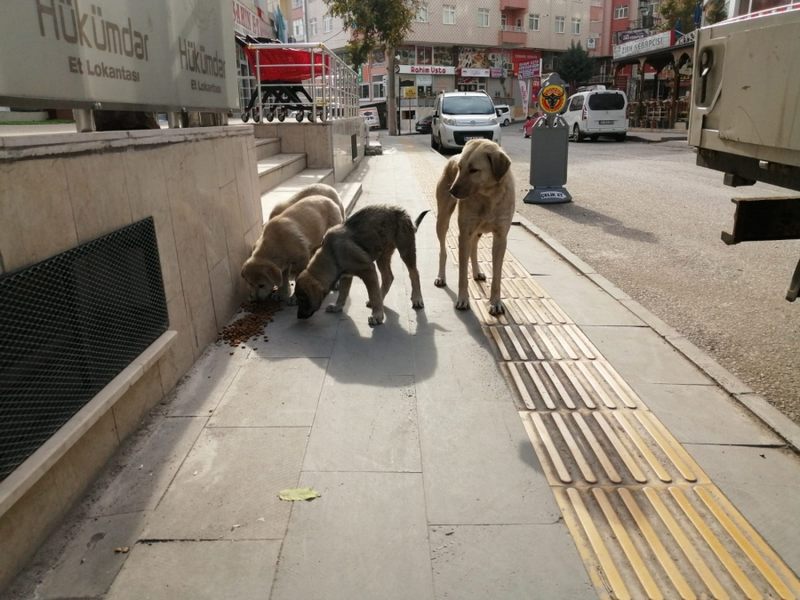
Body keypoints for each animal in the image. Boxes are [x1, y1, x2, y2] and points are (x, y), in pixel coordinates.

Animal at [434, 136, 516, 314]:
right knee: (443, 250)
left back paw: (477, 271)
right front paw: (463, 299)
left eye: (474, 170)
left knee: (474, 247)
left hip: (477, 230)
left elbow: (497, 276)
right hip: (442, 220)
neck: (488, 196)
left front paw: (495, 302)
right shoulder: (464, 234)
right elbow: (462, 274)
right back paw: (441, 276)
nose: (452, 191)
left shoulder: (501, 237)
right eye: (459, 167)